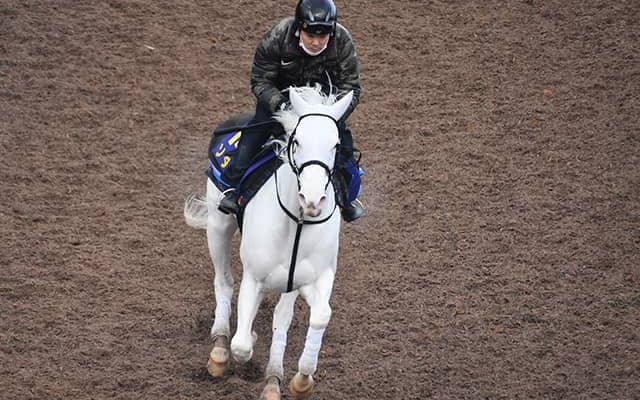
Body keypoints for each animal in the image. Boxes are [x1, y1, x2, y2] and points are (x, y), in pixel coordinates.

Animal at [184, 85, 354, 400]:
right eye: (297, 141)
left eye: (336, 145)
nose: (312, 200)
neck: (296, 224)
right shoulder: (254, 275)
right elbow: (241, 346)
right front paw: (243, 341)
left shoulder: (308, 279)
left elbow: (312, 317)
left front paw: (297, 381)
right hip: (218, 226)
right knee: (223, 281)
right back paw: (220, 347)